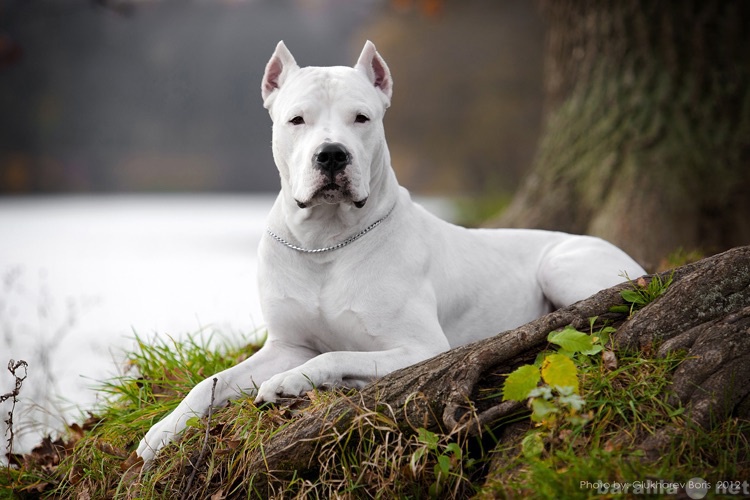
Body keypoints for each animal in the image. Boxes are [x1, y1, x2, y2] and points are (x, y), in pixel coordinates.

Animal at [137, 41, 648, 462]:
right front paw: (161, 433)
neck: (325, 243)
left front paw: (290, 382)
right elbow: (210, 382)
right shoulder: (286, 344)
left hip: (562, 265)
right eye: (297, 119)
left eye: (361, 118)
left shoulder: (421, 347)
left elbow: (333, 356)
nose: (332, 155)